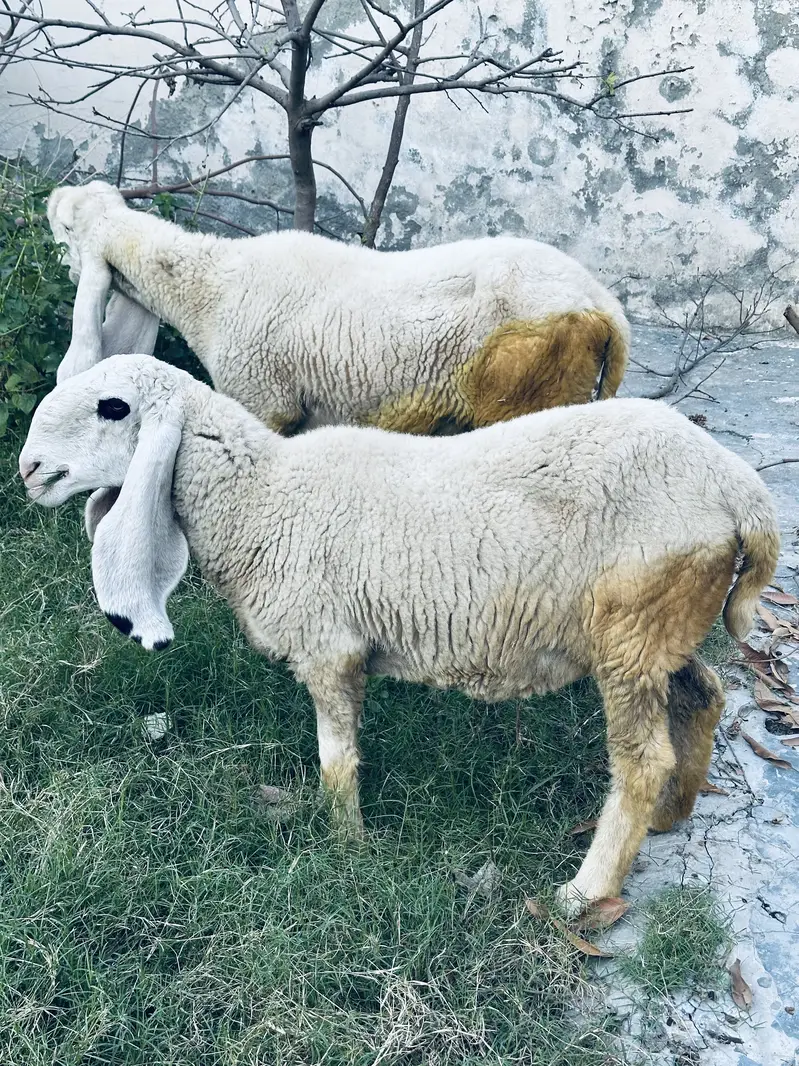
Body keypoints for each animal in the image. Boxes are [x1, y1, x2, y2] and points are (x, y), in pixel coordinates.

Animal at [19, 355, 779, 913]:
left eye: (112, 408)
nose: (27, 470)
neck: (262, 497)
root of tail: (739, 490)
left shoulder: (328, 647)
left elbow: (335, 760)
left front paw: (347, 850)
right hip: (658, 629)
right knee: (703, 694)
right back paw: (671, 813)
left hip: (633, 623)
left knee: (641, 761)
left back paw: (585, 891)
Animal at [48, 181, 630, 434]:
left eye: (65, 226)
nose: (51, 197)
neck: (212, 287)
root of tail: (605, 309)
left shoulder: (262, 395)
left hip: (532, 383)